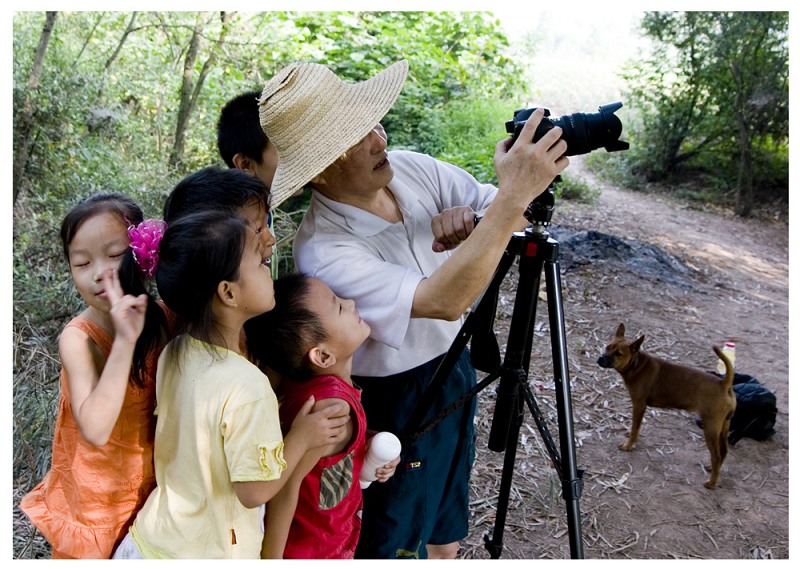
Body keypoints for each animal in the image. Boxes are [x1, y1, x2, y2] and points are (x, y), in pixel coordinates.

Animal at [596, 324, 736, 488]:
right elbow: (636, 428)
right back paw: (713, 469)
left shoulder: (639, 405)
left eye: (618, 354)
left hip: (710, 428)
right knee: (724, 451)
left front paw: (629, 445)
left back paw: (712, 482)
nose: (600, 358)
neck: (636, 364)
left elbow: (635, 428)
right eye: (607, 347)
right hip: (724, 425)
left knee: (716, 455)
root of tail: (723, 384)